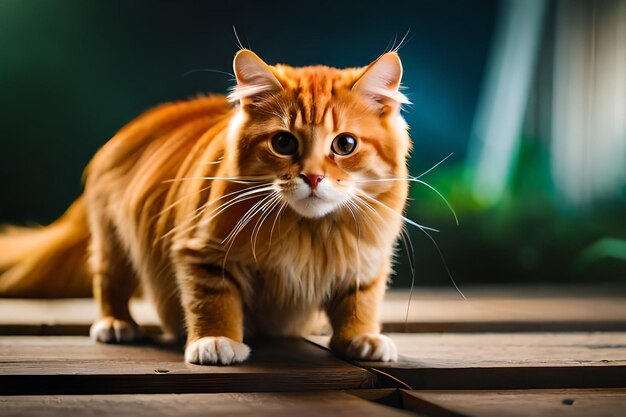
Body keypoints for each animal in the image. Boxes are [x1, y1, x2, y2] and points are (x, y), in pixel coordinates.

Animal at [0, 48, 410, 362]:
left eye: (345, 145)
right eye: (284, 143)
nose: (312, 177)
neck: (310, 232)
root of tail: (130, 129)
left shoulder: (366, 263)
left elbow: (360, 303)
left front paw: (360, 337)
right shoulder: (203, 252)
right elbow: (213, 301)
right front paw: (217, 341)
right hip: (113, 240)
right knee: (109, 281)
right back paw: (116, 324)